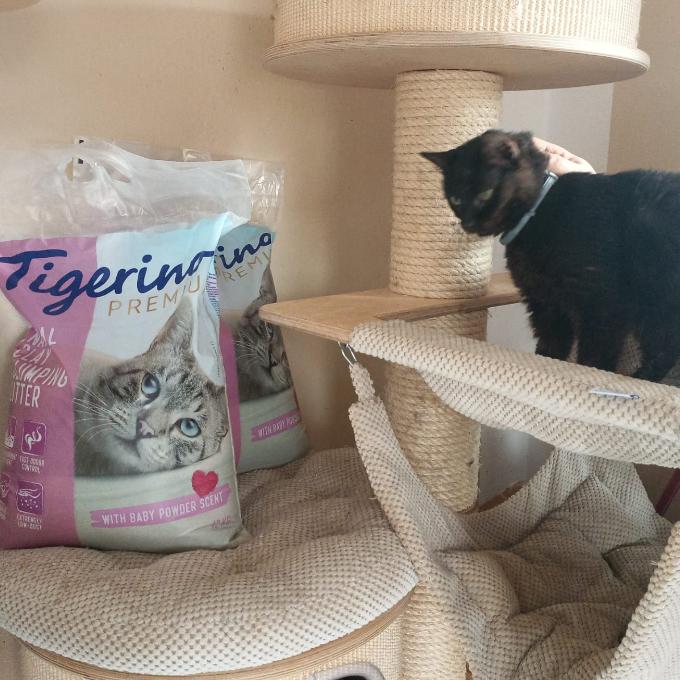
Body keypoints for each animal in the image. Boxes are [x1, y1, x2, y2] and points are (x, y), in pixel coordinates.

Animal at [423, 129, 680, 382]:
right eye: (455, 199)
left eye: (485, 193)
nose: (467, 222)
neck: (536, 216)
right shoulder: (545, 302)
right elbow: (551, 347)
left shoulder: (601, 302)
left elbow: (595, 354)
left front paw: (590, 375)